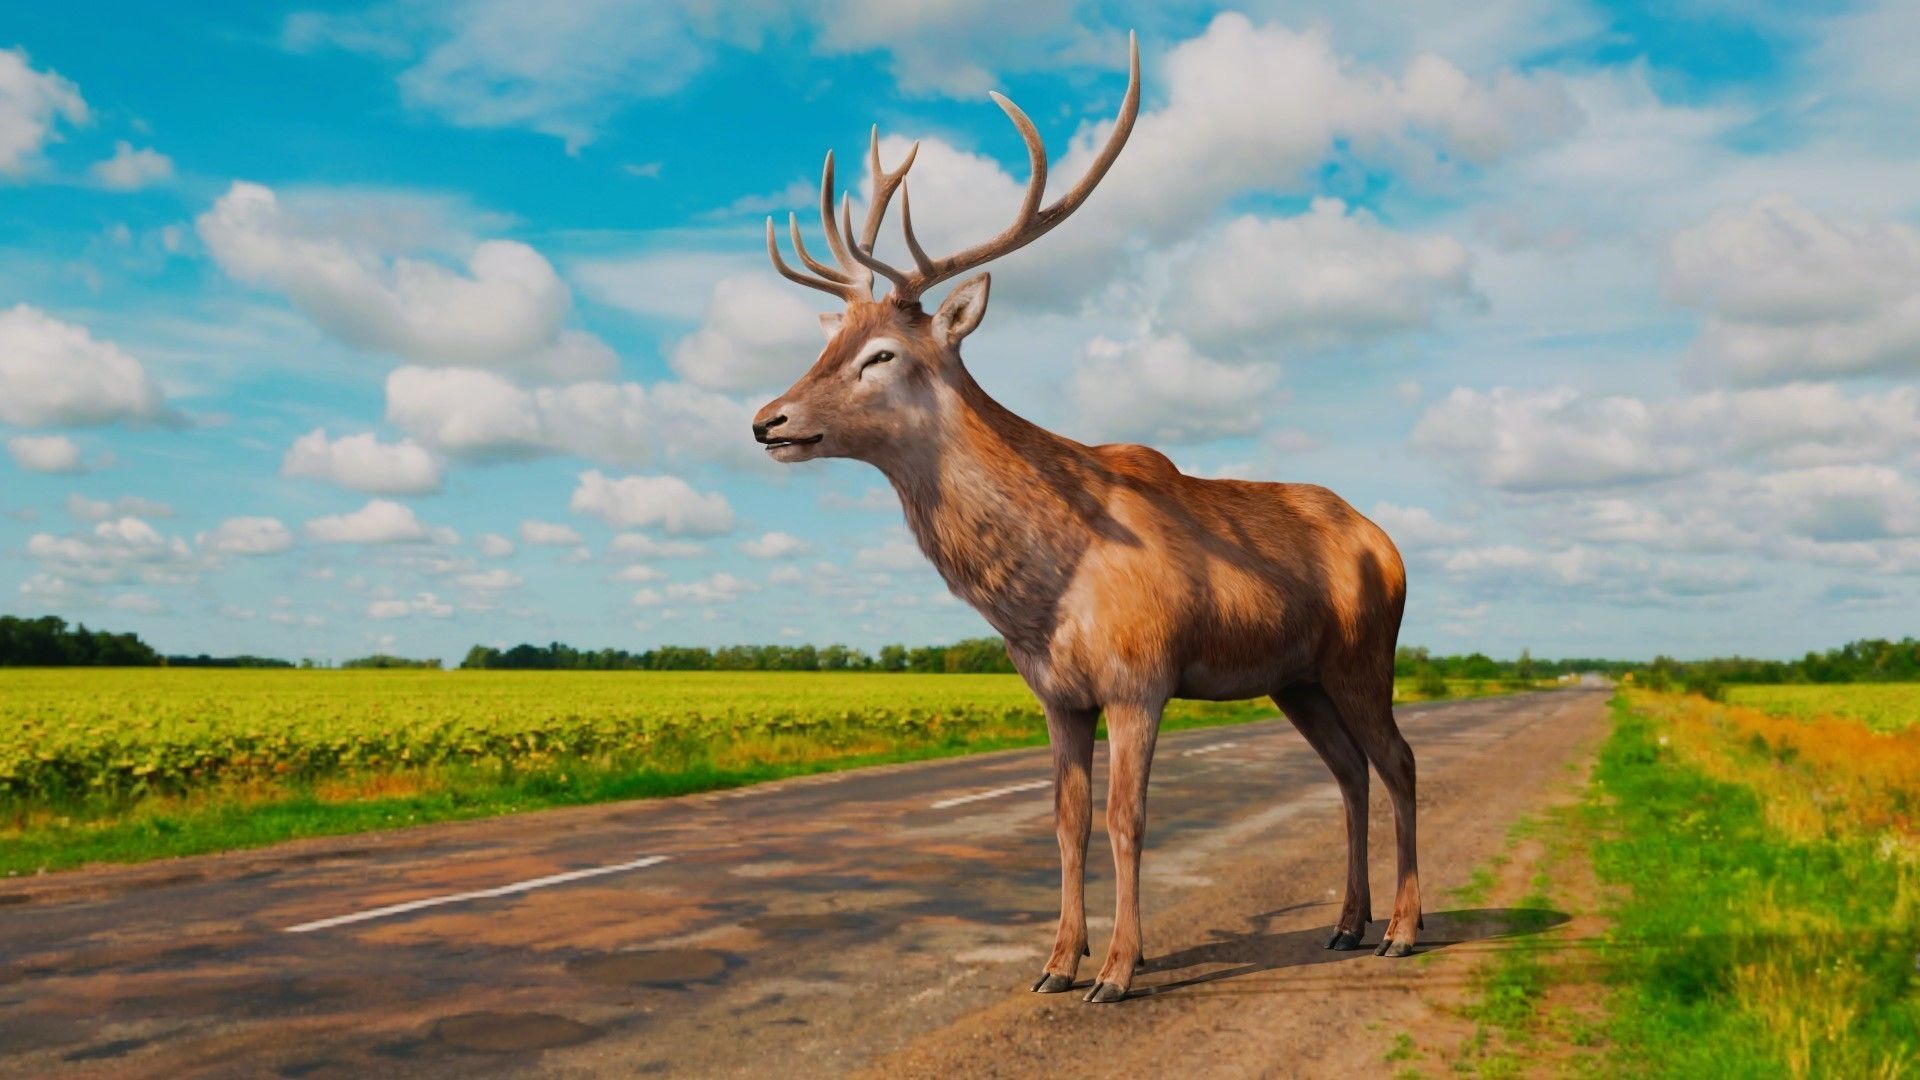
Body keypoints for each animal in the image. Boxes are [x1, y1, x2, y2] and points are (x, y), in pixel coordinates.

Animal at [751, 33, 1418, 1003]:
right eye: (826, 343)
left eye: (880, 355)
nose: (768, 420)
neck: (1044, 591)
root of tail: (1391, 545)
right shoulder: (1057, 693)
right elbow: (1063, 821)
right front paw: (1055, 964)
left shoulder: (1142, 675)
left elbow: (1125, 818)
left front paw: (1118, 971)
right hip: (1296, 677)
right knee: (1350, 772)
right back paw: (1345, 923)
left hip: (1366, 653)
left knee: (1397, 761)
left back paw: (1403, 930)